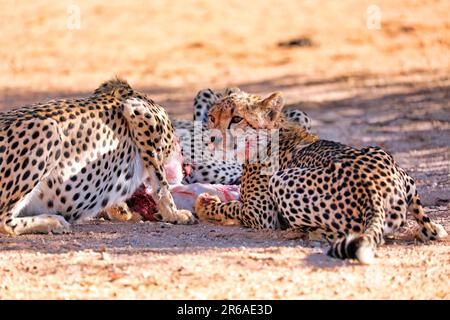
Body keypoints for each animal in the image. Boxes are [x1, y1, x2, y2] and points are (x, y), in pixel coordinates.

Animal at [0, 77, 197, 235]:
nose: (188, 166)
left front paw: (122, 211)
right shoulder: (138, 112)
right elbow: (161, 184)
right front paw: (174, 214)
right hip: (48, 129)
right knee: (4, 220)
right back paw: (52, 221)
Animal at [195, 89, 448, 262]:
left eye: (237, 119)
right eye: (212, 117)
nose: (212, 139)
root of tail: (372, 187)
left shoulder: (260, 214)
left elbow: (229, 207)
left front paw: (204, 203)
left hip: (281, 180)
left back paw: (306, 231)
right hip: (389, 160)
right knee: (429, 228)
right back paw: (434, 228)